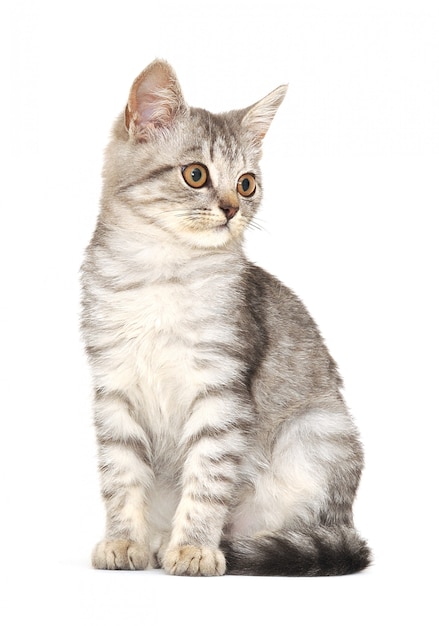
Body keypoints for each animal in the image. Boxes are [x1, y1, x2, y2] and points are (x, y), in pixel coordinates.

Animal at [81, 59, 372, 576]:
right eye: (196, 174)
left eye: (246, 183)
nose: (233, 208)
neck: (161, 272)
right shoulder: (113, 388)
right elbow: (121, 475)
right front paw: (123, 539)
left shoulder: (221, 391)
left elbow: (207, 478)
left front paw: (194, 547)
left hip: (317, 431)